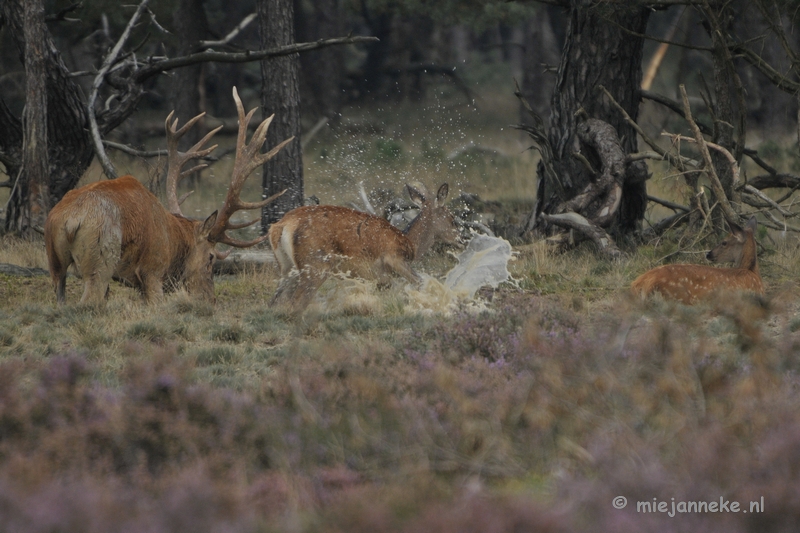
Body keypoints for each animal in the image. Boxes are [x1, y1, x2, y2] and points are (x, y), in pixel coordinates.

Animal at [44, 87, 294, 304]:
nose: (210, 299)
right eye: (211, 258)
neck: (173, 240)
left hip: (54, 261)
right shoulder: (153, 270)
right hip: (101, 259)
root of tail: (69, 220)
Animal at [268, 183, 460, 312]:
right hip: (315, 265)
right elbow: (419, 281)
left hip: (287, 267)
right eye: (452, 218)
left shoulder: (379, 279)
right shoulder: (394, 259)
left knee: (277, 301)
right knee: (296, 303)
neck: (410, 243)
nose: (460, 238)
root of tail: (281, 225)